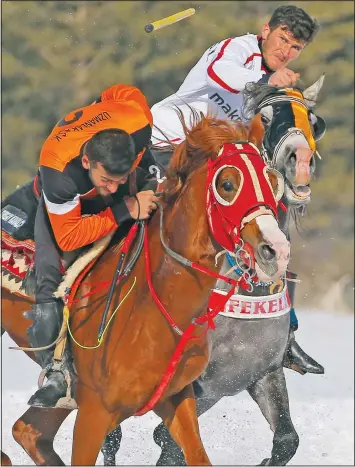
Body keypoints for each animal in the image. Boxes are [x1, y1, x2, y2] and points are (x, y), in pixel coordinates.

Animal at [1, 115, 290, 466]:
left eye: (271, 182)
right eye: (227, 185)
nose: (275, 250)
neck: (156, 306)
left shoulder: (176, 398)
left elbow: (193, 453)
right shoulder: (95, 411)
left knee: (29, 432)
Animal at [101, 76, 328, 464]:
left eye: (314, 123)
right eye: (265, 118)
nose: (300, 162)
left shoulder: (260, 373)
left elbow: (287, 439)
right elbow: (169, 442)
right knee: (109, 435)